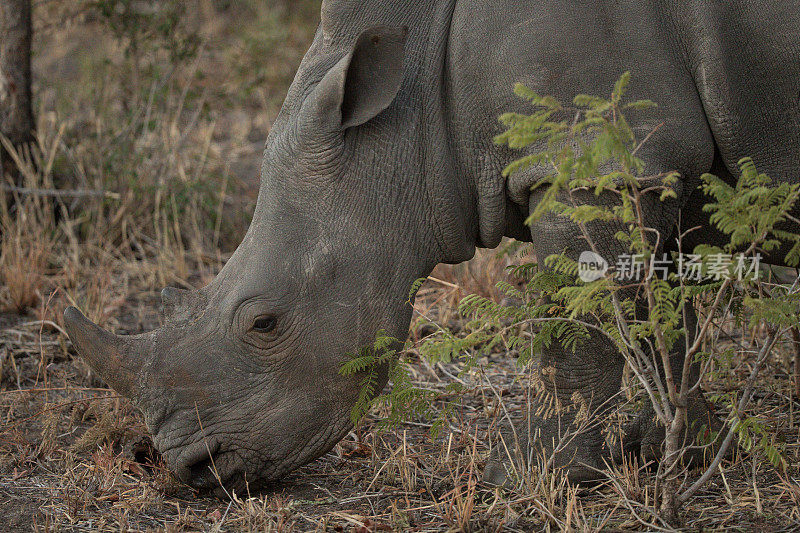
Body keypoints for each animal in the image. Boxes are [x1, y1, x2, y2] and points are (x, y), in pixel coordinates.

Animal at [65, 0, 800, 492]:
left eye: (265, 323)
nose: (193, 468)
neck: (411, 119)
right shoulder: (653, 162)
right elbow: (670, 309)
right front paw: (678, 451)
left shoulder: (593, 156)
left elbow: (573, 329)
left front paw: (526, 477)